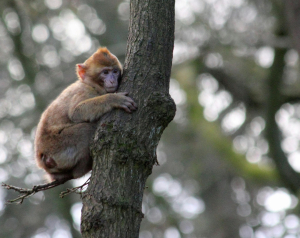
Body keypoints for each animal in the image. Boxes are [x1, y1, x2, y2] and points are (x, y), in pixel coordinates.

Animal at [34, 48, 138, 182]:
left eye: (115, 71)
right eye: (105, 72)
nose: (112, 80)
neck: (91, 85)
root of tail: (41, 158)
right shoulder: (84, 92)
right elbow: (76, 112)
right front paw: (114, 99)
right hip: (58, 145)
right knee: (86, 130)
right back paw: (82, 169)